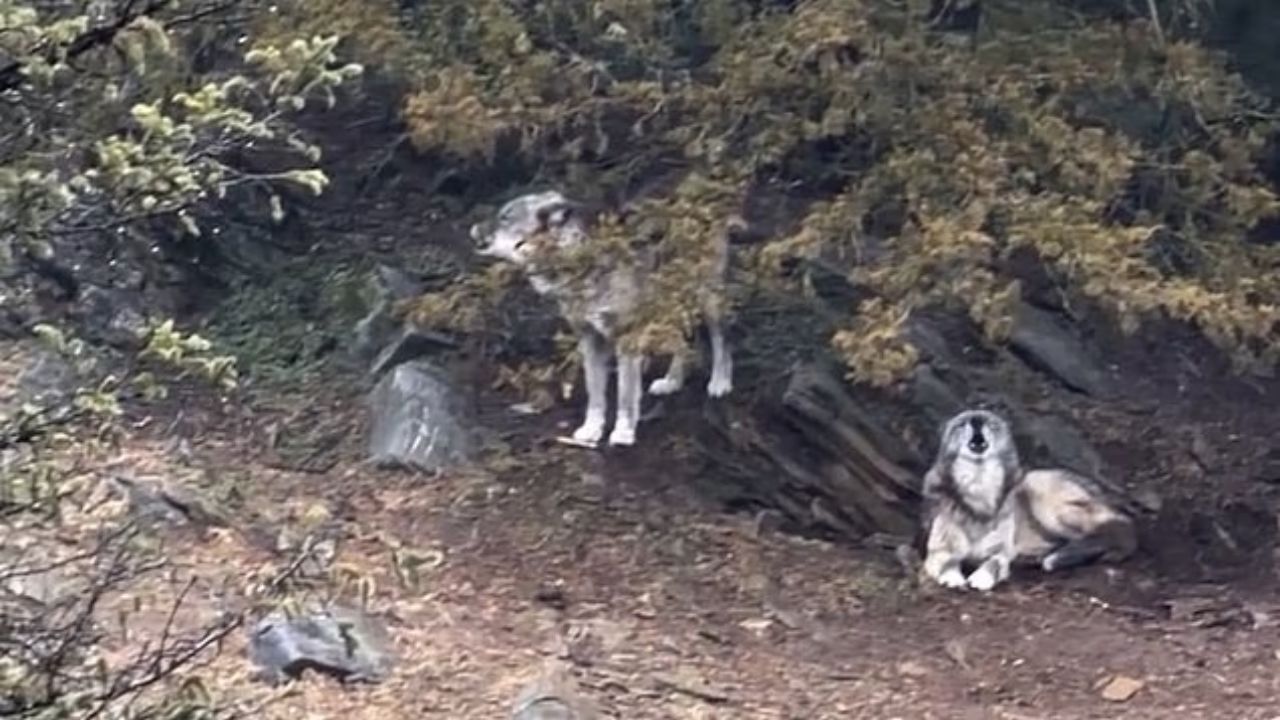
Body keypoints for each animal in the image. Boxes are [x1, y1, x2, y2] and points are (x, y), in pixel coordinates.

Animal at [469, 189, 736, 448]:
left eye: (505, 218)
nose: (473, 228)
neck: (575, 257)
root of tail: (700, 201)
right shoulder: (590, 340)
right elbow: (595, 395)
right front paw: (592, 429)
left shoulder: (626, 340)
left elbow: (625, 396)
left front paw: (623, 432)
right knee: (684, 341)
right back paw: (673, 380)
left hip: (708, 300)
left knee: (722, 340)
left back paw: (720, 382)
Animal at [920, 408, 1136, 592]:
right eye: (962, 423)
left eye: (990, 423)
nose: (977, 421)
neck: (979, 494)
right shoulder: (938, 550)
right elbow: (948, 561)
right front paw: (952, 577)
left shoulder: (1002, 552)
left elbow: (993, 563)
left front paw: (982, 578)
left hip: (1043, 500)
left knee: (1112, 533)